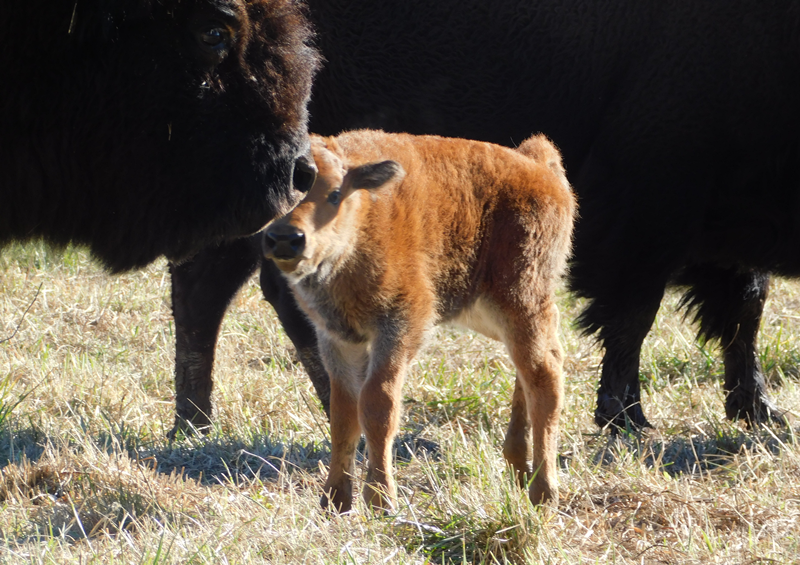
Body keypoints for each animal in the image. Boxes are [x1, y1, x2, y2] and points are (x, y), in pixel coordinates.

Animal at [170, 0, 798, 434]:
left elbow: (745, 309)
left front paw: (760, 411)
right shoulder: (649, 213)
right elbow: (635, 317)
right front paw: (628, 419)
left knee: (214, 290)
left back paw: (200, 423)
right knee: (219, 291)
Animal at [262, 130, 575, 511]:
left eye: (335, 193)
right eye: (276, 193)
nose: (286, 239)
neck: (364, 218)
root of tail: (539, 166)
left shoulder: (400, 326)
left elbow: (378, 406)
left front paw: (380, 499)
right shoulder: (337, 339)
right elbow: (343, 415)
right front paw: (334, 500)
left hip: (520, 300)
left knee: (543, 374)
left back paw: (543, 492)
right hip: (491, 313)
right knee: (536, 364)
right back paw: (519, 468)